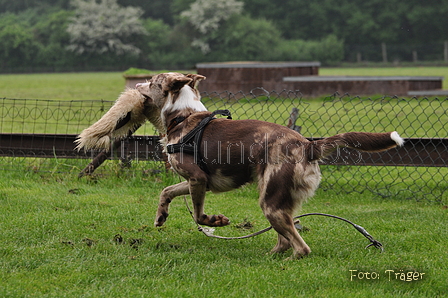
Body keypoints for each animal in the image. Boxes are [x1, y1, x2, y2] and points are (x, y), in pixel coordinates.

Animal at [77, 72, 406, 258]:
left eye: (152, 81)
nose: (136, 83)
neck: (183, 116)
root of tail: (308, 144)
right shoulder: (195, 180)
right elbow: (166, 191)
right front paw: (161, 217)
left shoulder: (198, 179)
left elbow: (199, 215)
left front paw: (216, 221)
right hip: (280, 203)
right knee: (286, 238)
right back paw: (270, 255)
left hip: (271, 201)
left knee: (301, 247)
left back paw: (285, 261)